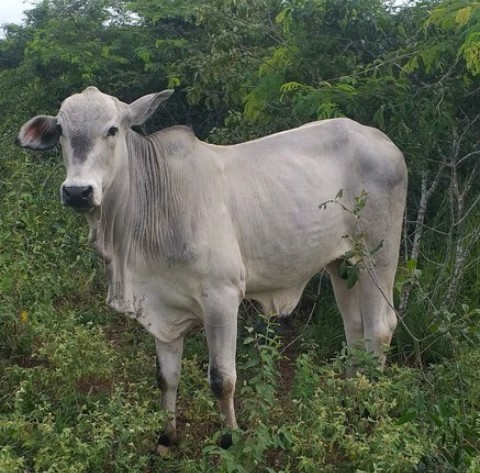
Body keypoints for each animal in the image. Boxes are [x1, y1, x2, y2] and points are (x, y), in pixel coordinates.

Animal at [16, 86, 406, 452]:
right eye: (61, 131)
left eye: (112, 129)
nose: (77, 192)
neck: (152, 201)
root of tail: (382, 140)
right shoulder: (161, 305)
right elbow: (166, 376)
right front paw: (167, 437)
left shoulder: (222, 297)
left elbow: (221, 378)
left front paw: (231, 438)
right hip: (341, 263)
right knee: (355, 329)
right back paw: (350, 398)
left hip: (377, 254)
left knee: (379, 328)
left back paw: (367, 410)